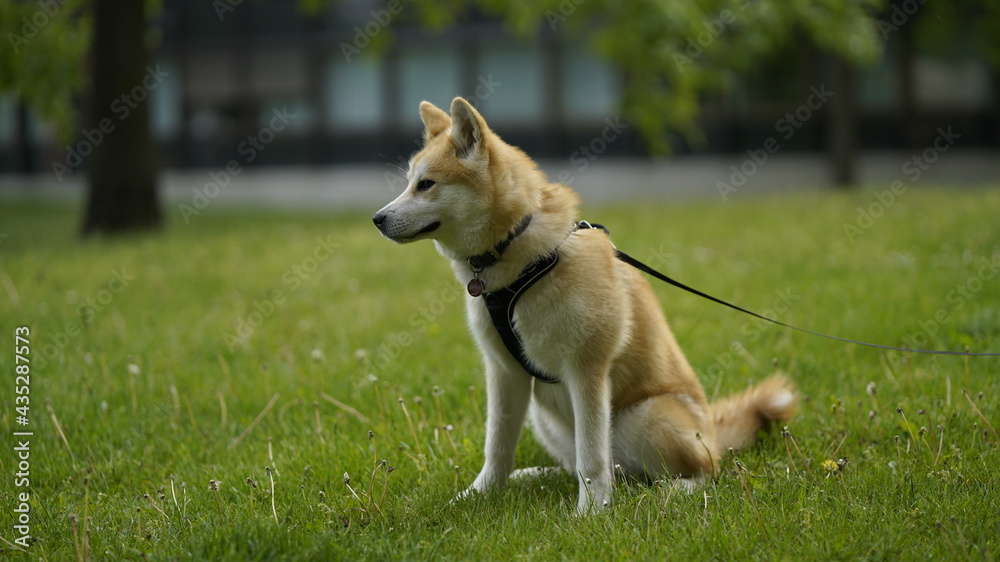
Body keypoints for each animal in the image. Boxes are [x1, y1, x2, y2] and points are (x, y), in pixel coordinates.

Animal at [376, 95, 796, 512]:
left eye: (426, 184)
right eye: (409, 182)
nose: (377, 218)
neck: (519, 257)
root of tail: (711, 428)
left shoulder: (586, 369)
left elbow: (591, 458)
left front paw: (591, 512)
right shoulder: (504, 373)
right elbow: (497, 448)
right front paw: (481, 495)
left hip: (643, 420)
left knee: (701, 470)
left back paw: (671, 491)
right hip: (545, 417)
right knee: (590, 466)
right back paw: (536, 477)